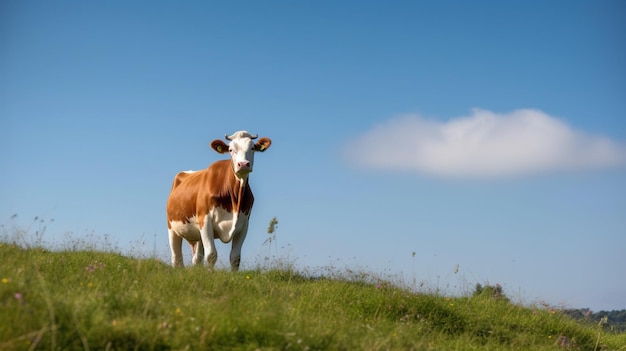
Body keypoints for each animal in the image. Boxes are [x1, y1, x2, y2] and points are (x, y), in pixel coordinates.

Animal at [166, 131, 270, 270]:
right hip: (172, 227)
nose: (243, 164)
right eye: (230, 149)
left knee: (197, 258)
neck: (235, 200)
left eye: (252, 148)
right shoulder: (205, 220)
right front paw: (210, 273)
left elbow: (235, 258)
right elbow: (211, 255)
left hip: (197, 235)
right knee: (176, 257)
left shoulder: (244, 225)